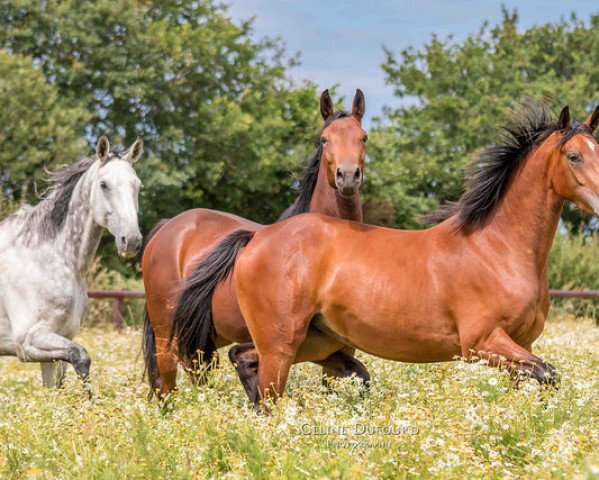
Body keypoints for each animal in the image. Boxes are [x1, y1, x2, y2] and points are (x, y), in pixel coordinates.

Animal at [144, 90, 372, 398]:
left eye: (363, 137)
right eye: (324, 139)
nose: (347, 176)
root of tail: (167, 227)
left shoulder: (340, 345)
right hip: (166, 335)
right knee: (166, 382)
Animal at [205, 100, 596, 404]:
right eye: (574, 156)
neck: (497, 248)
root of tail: (257, 237)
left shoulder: (519, 344)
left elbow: (537, 380)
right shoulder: (482, 342)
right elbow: (547, 373)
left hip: (314, 341)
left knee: (244, 357)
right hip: (281, 345)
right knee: (266, 391)